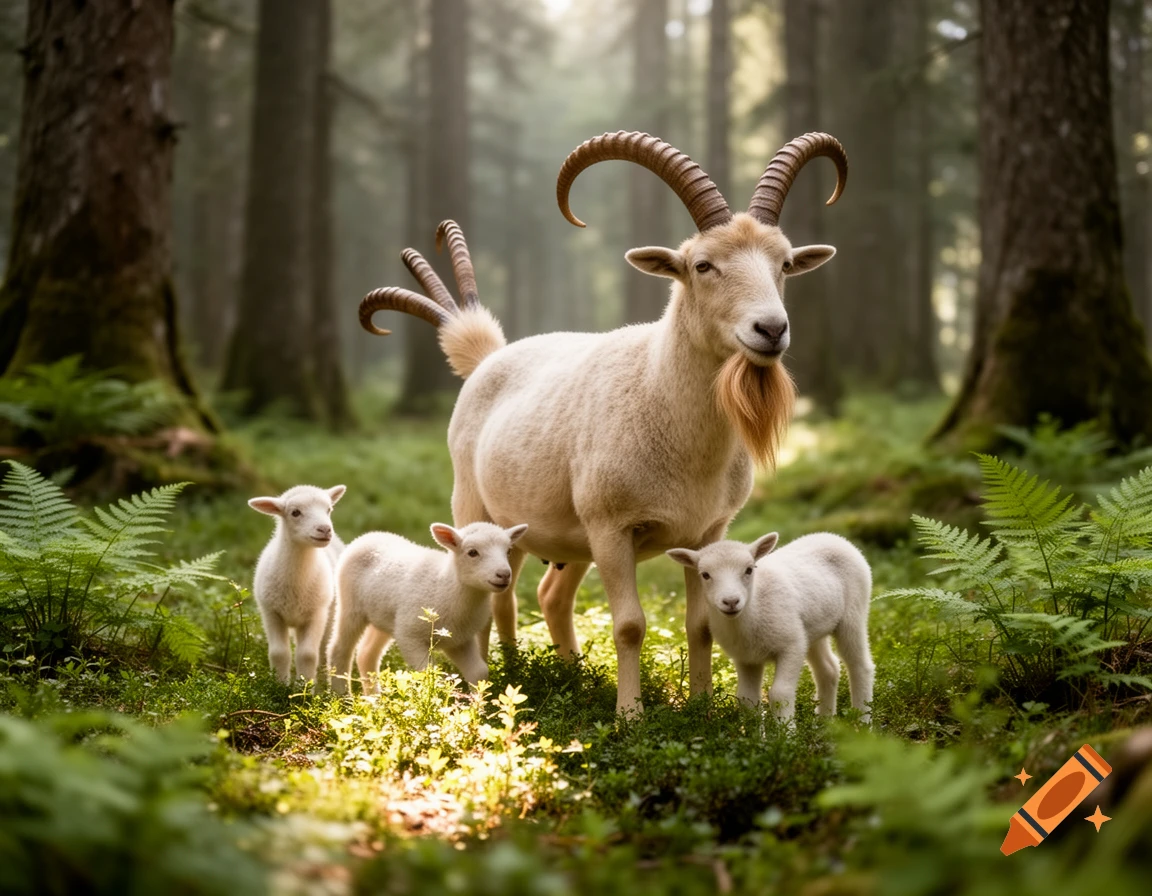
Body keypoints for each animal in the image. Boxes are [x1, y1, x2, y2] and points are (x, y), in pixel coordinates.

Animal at [248, 484, 346, 685]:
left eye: (328, 509)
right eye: (295, 512)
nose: (325, 529)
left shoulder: (317, 613)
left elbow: (307, 655)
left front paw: (304, 688)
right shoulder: (271, 612)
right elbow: (279, 653)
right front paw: (279, 686)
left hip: (329, 614)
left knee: (323, 653)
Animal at [328, 521, 529, 695]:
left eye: (508, 551)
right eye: (472, 552)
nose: (504, 574)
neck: (446, 585)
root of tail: (369, 535)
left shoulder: (459, 640)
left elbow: (479, 672)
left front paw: (479, 711)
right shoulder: (410, 635)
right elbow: (429, 673)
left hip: (384, 618)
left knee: (366, 653)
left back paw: (374, 699)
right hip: (350, 606)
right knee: (339, 649)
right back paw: (343, 697)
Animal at [358, 130, 847, 715]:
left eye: (784, 263)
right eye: (703, 265)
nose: (771, 330)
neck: (663, 404)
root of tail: (484, 356)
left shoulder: (707, 532)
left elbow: (700, 625)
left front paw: (702, 708)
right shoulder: (612, 528)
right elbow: (631, 625)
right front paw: (629, 716)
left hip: (569, 541)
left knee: (549, 595)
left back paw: (568, 672)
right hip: (478, 507)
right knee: (498, 593)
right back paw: (506, 679)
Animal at [666, 532, 874, 722]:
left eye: (749, 570)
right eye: (705, 575)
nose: (731, 601)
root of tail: (834, 537)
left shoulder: (791, 645)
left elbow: (780, 694)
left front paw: (786, 736)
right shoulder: (746, 658)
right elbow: (747, 699)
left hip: (853, 613)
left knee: (860, 667)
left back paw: (862, 722)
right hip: (812, 628)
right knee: (829, 669)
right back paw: (825, 724)